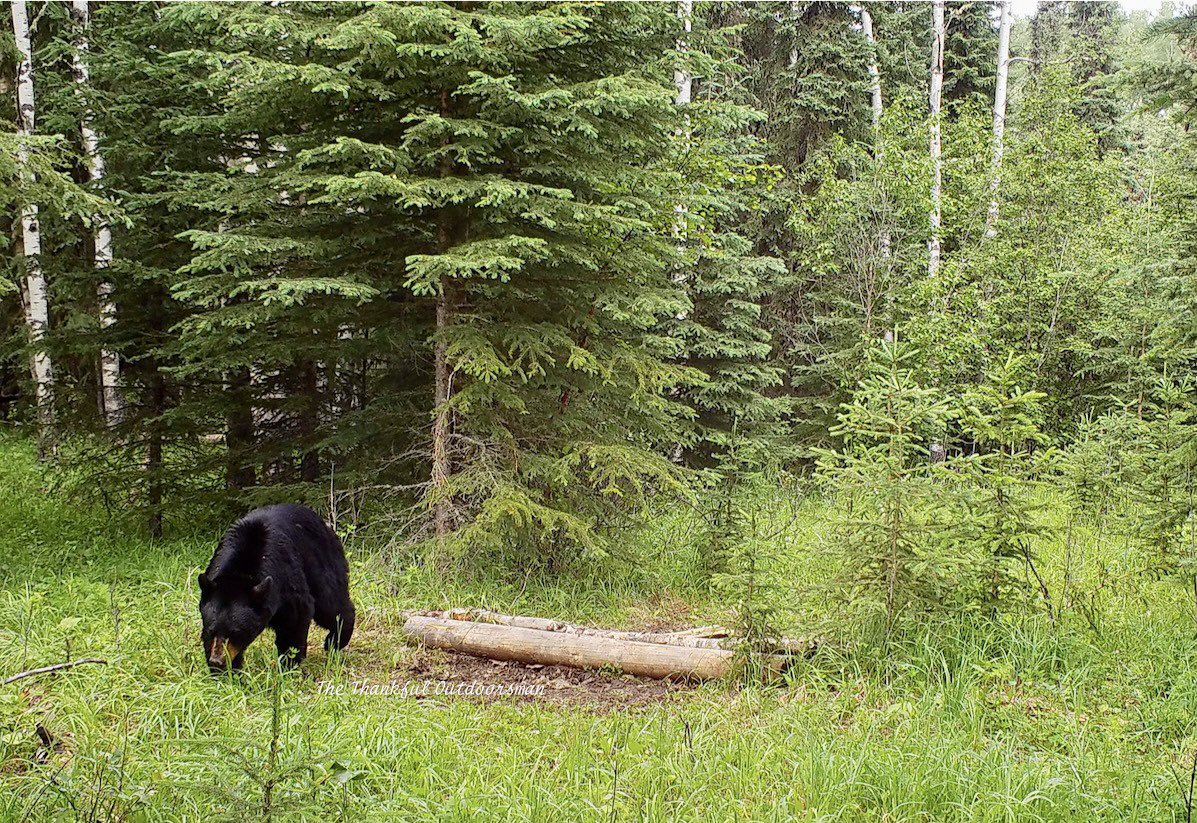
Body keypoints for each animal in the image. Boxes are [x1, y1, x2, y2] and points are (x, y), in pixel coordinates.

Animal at [199, 503, 354, 672]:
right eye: (211, 630)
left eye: (236, 632)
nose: (217, 660)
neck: (241, 571)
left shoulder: (286, 581)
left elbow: (295, 620)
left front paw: (288, 664)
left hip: (321, 560)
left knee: (330, 604)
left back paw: (335, 641)